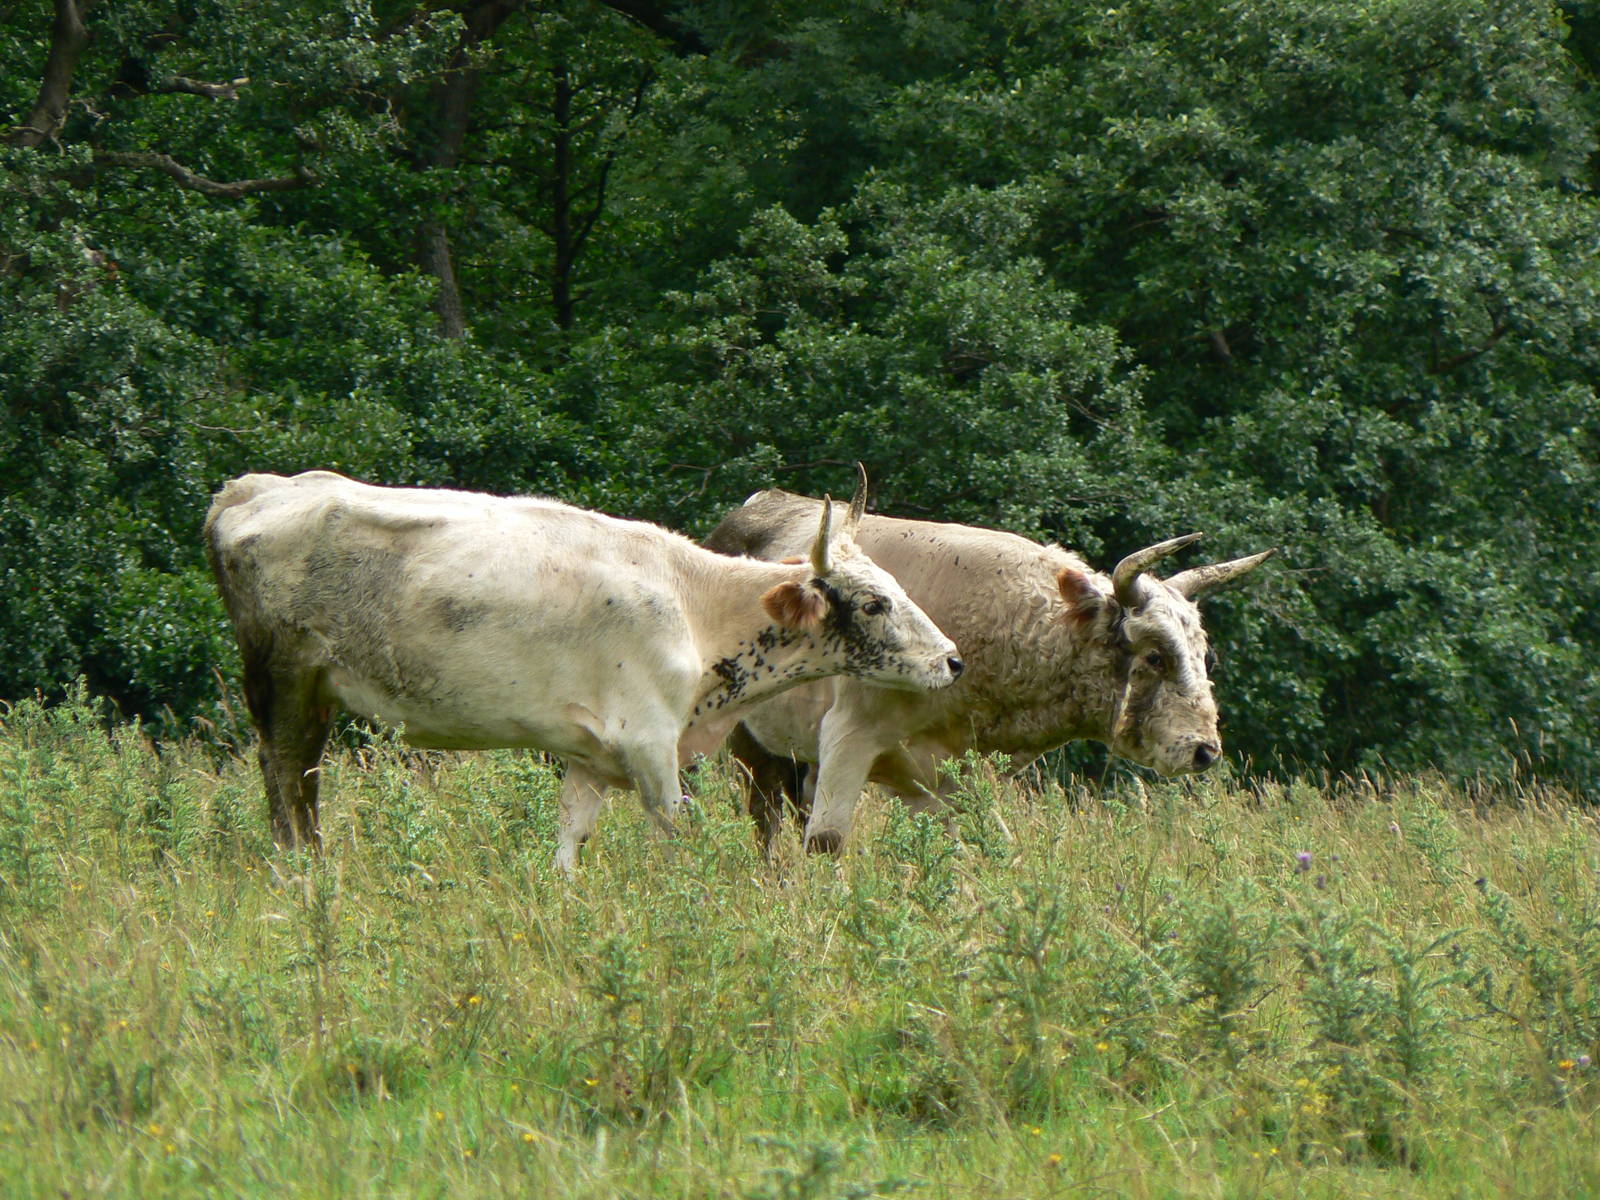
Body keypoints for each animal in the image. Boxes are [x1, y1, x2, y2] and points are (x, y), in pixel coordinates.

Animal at [203, 470, 963, 870]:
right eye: (873, 602)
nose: (953, 660)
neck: (694, 604)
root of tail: (257, 487)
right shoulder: (649, 744)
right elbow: (683, 838)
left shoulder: (592, 758)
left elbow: (569, 845)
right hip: (285, 683)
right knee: (286, 784)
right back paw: (302, 875)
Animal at [703, 490, 1276, 854]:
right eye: (1156, 656)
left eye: (1205, 655)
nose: (1205, 750)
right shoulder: (849, 737)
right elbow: (827, 843)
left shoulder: (944, 782)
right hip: (753, 746)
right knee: (767, 823)